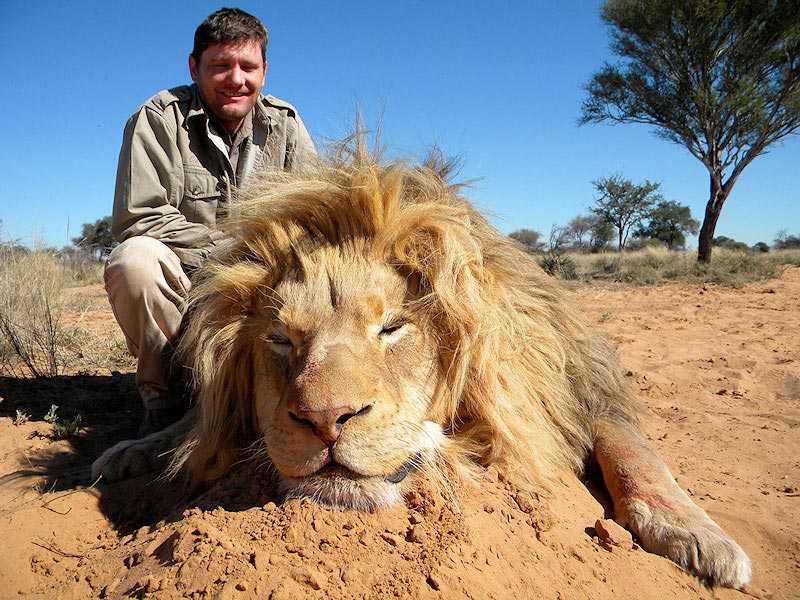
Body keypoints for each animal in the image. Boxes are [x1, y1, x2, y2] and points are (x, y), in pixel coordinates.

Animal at [92, 137, 751, 589]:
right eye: (281, 340)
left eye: (392, 327)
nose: (326, 421)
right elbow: (194, 428)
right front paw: (134, 449)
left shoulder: (581, 385)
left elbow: (632, 449)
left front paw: (697, 534)